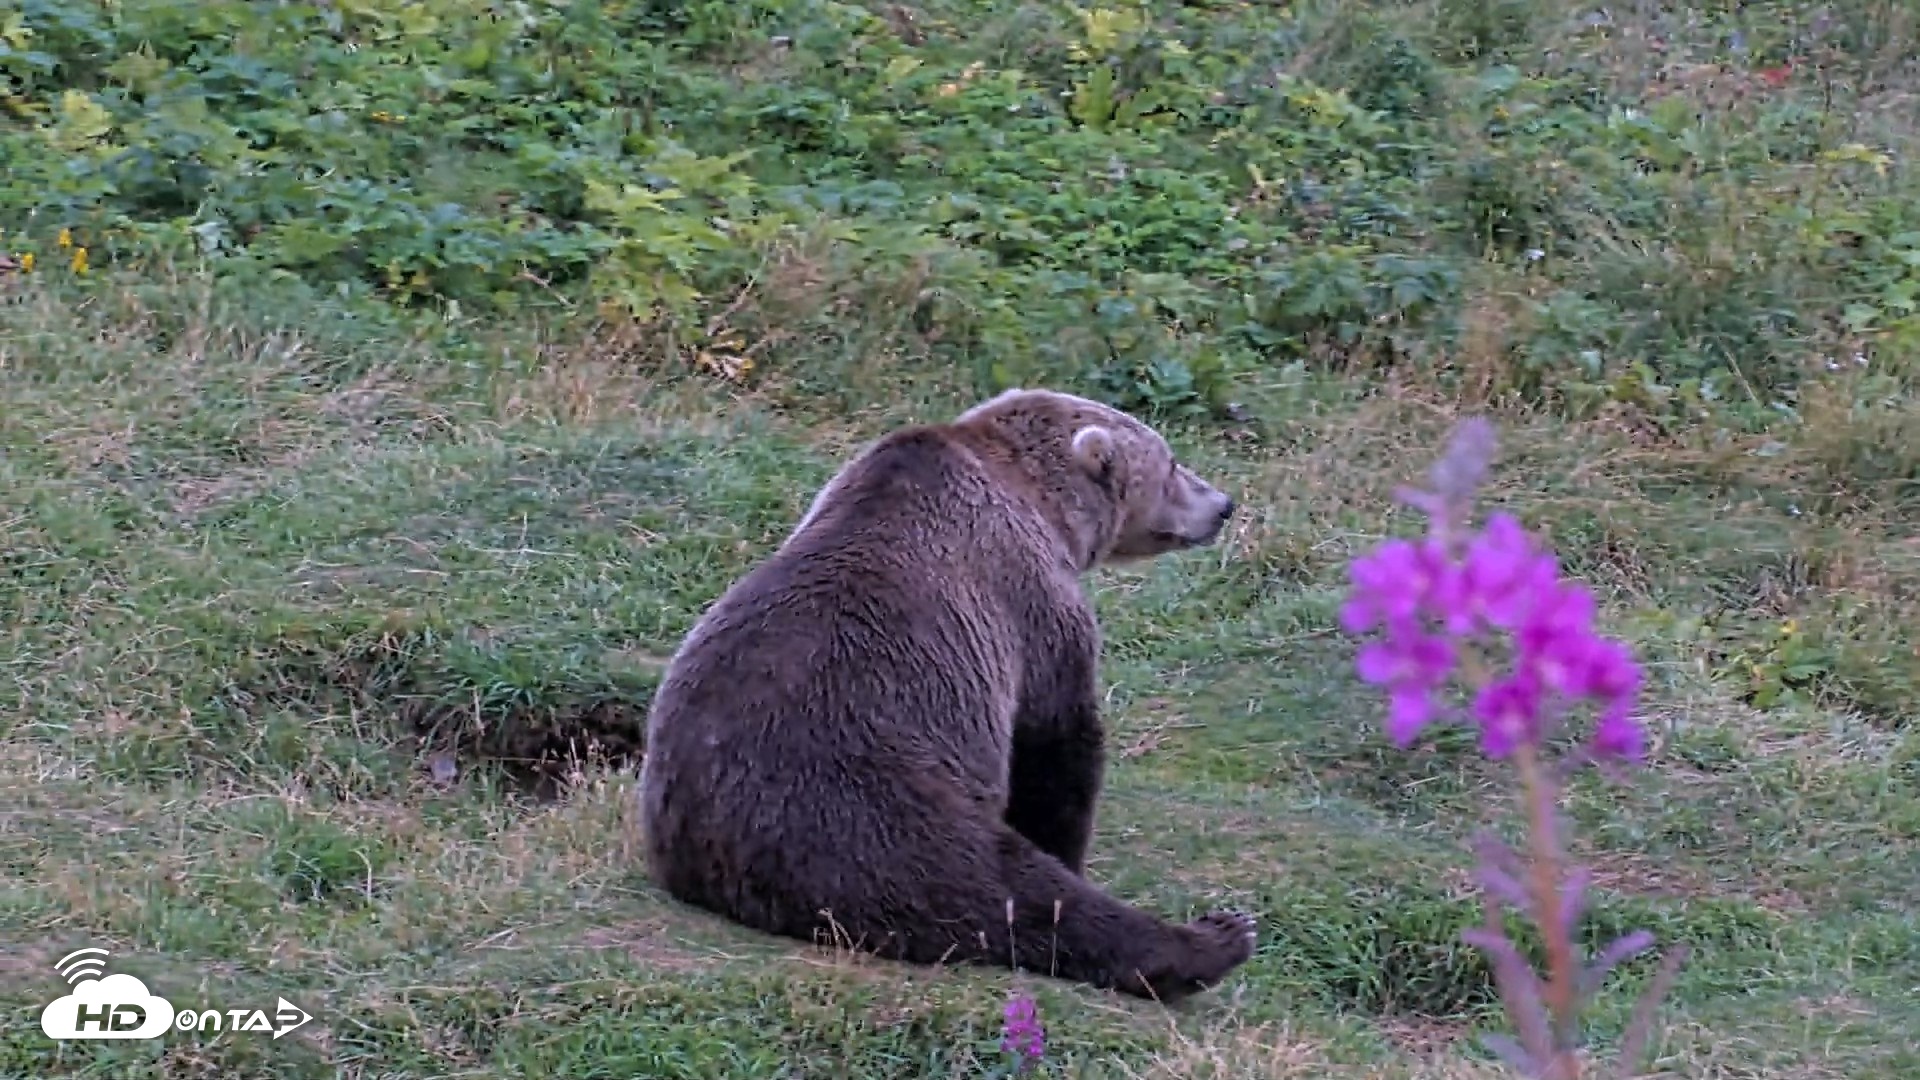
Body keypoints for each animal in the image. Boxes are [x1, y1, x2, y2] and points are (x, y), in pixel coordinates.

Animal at [635, 387, 1256, 1002]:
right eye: (1172, 463)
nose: (1223, 504)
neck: (1044, 504)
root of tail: (718, 841)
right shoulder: (1029, 603)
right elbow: (1056, 742)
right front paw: (1070, 846)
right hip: (866, 794)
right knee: (998, 887)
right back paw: (1214, 938)